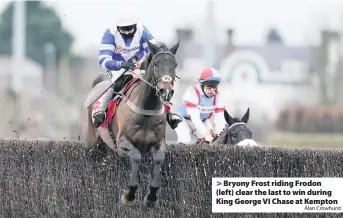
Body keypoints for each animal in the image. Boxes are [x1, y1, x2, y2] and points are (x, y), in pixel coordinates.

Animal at [78, 41, 180, 208]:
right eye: (156, 64)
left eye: (175, 65)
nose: (165, 92)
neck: (146, 109)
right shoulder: (122, 143)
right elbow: (136, 156)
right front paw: (129, 195)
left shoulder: (159, 142)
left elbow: (159, 158)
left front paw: (151, 196)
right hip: (89, 141)